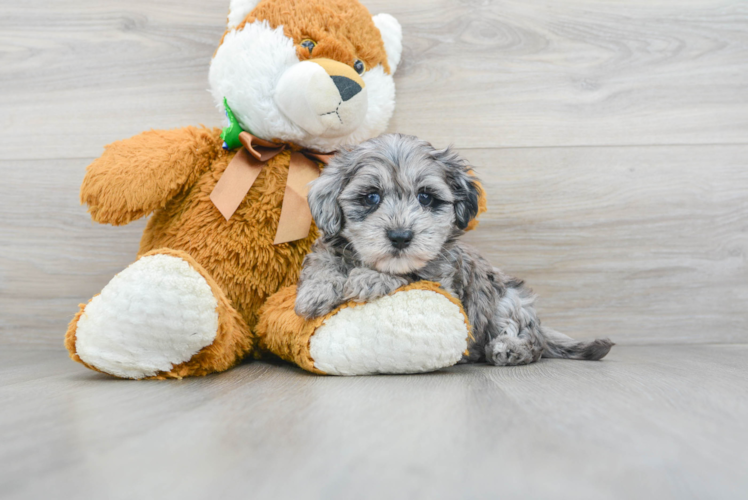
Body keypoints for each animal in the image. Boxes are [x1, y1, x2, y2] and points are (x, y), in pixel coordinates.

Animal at [296, 135, 616, 366]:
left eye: (426, 197)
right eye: (371, 197)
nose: (400, 237)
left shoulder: (443, 284)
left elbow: (410, 275)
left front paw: (370, 279)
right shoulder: (326, 251)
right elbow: (322, 264)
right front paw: (316, 292)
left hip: (509, 301)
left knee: (527, 338)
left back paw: (510, 349)